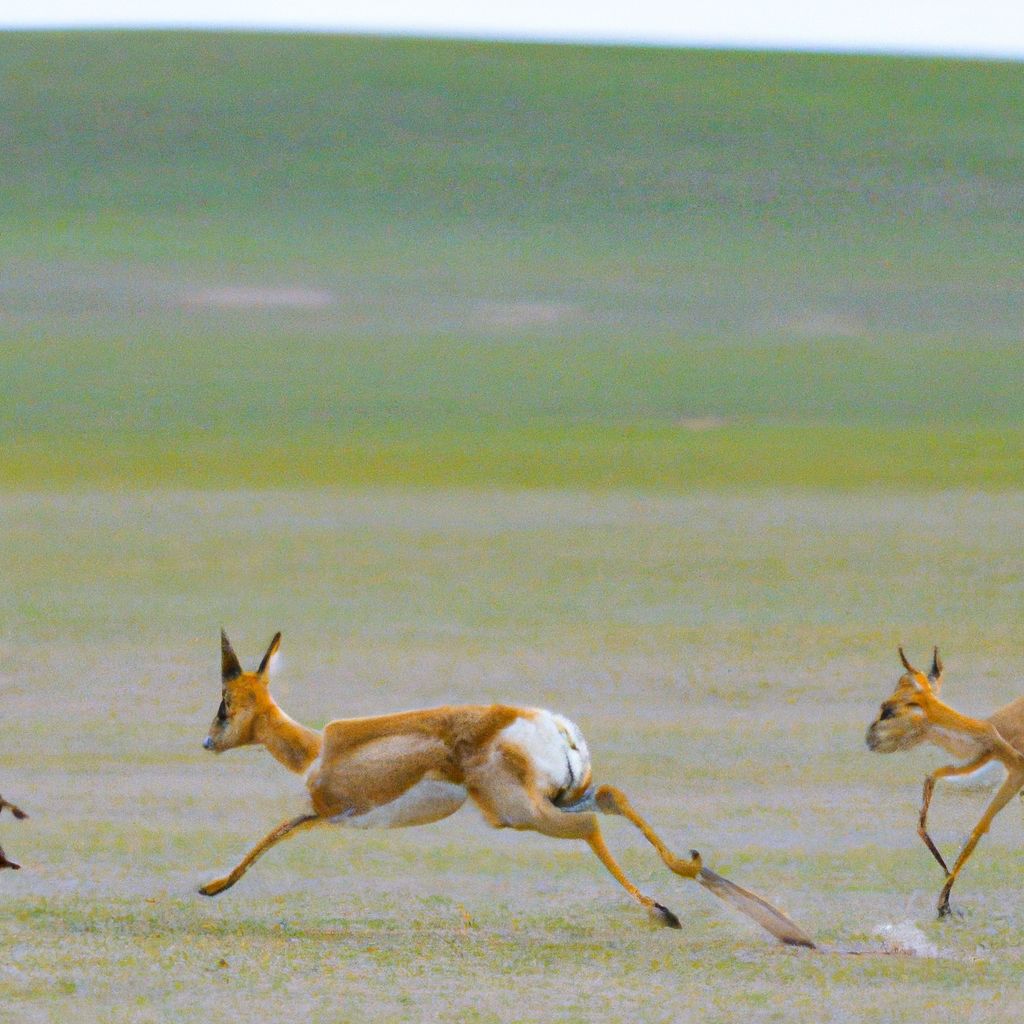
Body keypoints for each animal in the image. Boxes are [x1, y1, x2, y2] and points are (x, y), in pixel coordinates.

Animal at [197, 626, 815, 946]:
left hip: (524, 814)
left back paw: (663, 911)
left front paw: (211, 887)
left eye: (225, 703)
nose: (207, 742)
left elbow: (272, 834)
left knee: (590, 824)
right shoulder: (325, 815)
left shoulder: (324, 811)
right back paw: (719, 887)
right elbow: (273, 835)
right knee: (613, 798)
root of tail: (550, 726)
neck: (315, 750)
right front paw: (213, 887)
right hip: (556, 796)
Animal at [868, 643, 1024, 917]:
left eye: (888, 708)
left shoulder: (1016, 773)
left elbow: (977, 829)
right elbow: (931, 778)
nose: (870, 738)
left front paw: (944, 905)